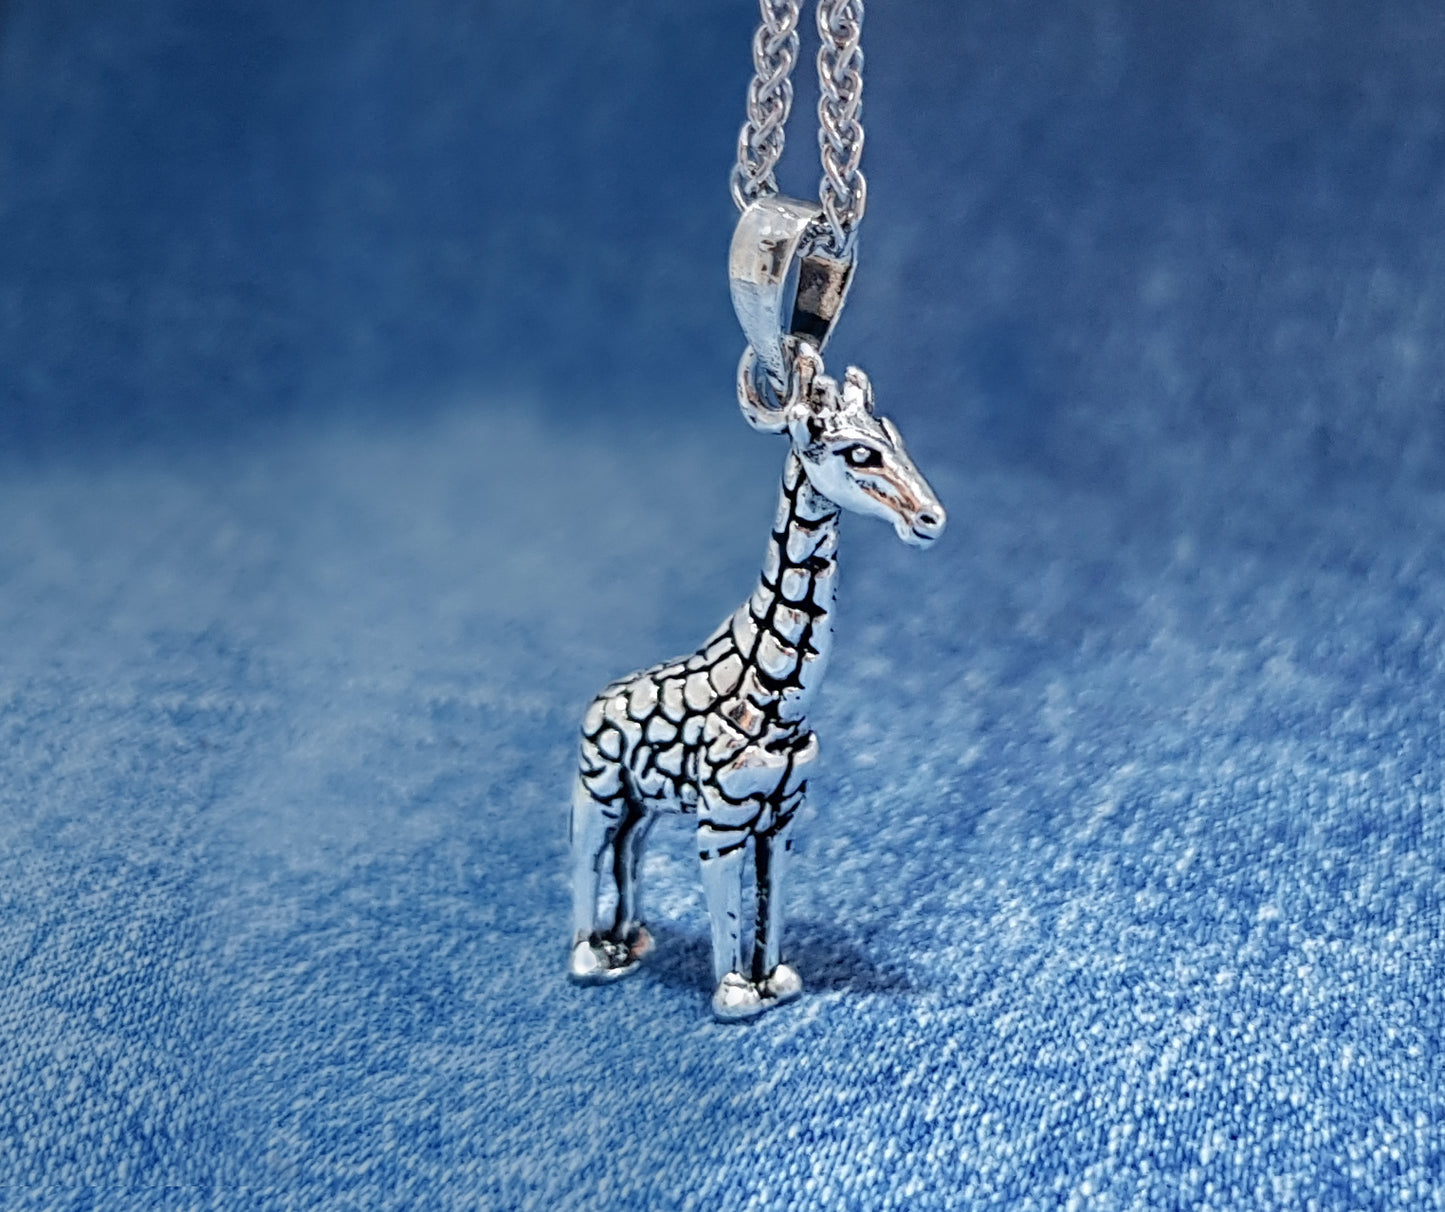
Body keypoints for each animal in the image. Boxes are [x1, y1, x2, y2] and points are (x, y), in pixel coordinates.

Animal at [567, 338, 945, 1020]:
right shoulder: (722, 820)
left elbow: (772, 902)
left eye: (896, 437)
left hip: (643, 802)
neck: (774, 699)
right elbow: (728, 912)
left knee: (629, 849)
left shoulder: (784, 815)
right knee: (587, 851)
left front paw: (777, 983)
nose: (930, 519)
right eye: (858, 453)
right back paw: (588, 959)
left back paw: (628, 944)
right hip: (599, 788)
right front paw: (736, 996)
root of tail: (593, 705)